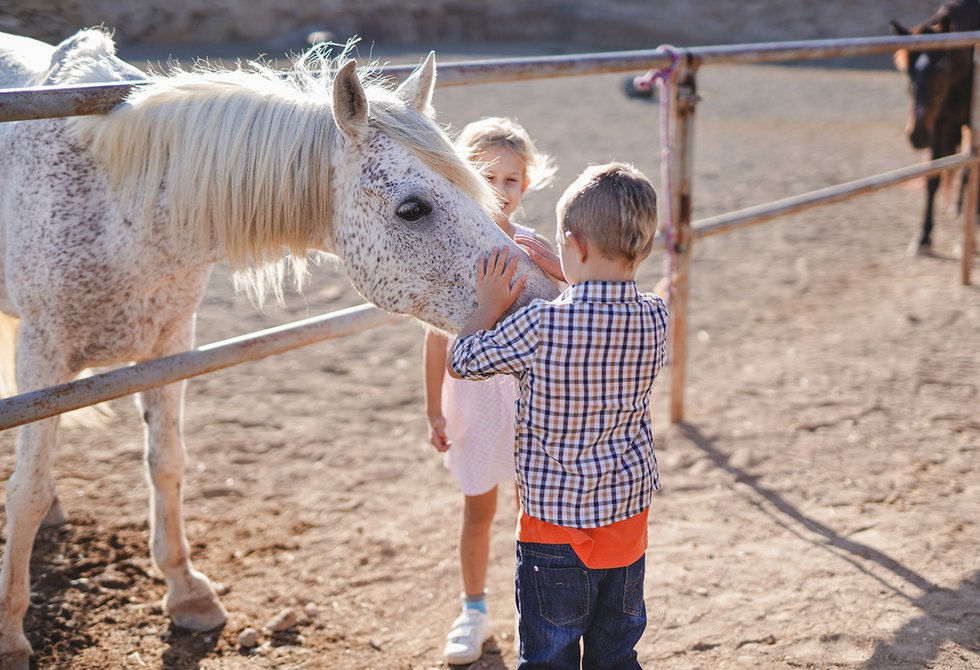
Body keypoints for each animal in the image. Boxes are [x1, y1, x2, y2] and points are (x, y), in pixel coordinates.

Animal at [0, 28, 556, 668]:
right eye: (412, 208)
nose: (546, 297)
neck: (119, 209)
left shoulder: (169, 347)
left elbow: (166, 463)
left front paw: (187, 591)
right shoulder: (43, 352)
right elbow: (26, 491)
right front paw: (11, 634)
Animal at [888, 0, 980, 256]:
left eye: (940, 73)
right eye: (909, 78)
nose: (917, 136)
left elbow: (971, 176)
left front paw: (966, 241)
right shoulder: (940, 126)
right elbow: (933, 179)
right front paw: (923, 238)